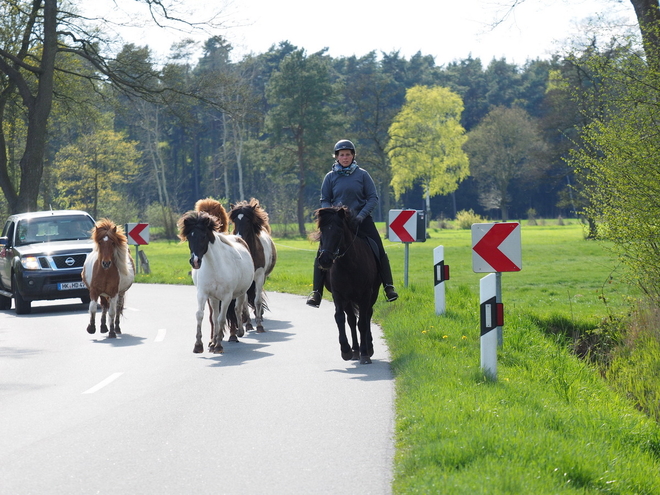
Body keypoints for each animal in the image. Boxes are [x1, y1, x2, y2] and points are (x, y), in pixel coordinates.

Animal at [178, 211, 255, 354]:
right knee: (214, 317)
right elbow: (201, 315)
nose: (195, 261)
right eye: (189, 237)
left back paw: (239, 332)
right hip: (213, 298)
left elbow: (221, 319)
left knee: (237, 308)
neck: (214, 266)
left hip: (241, 293)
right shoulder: (203, 294)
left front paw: (219, 346)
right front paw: (199, 345)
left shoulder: (226, 297)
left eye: (203, 236)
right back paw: (213, 342)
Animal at [229, 198, 276, 334]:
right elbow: (244, 302)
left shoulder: (260, 276)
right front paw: (249, 324)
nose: (238, 238)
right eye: (235, 221)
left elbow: (257, 300)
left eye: (248, 220)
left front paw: (259, 325)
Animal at [316, 205, 382, 364]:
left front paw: (365, 353)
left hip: (372, 295)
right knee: (351, 320)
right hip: (348, 300)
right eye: (322, 231)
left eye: (339, 231)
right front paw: (345, 350)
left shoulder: (365, 295)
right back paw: (355, 350)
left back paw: (367, 348)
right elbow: (340, 318)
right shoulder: (338, 295)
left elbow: (363, 323)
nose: (325, 260)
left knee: (367, 316)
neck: (349, 265)